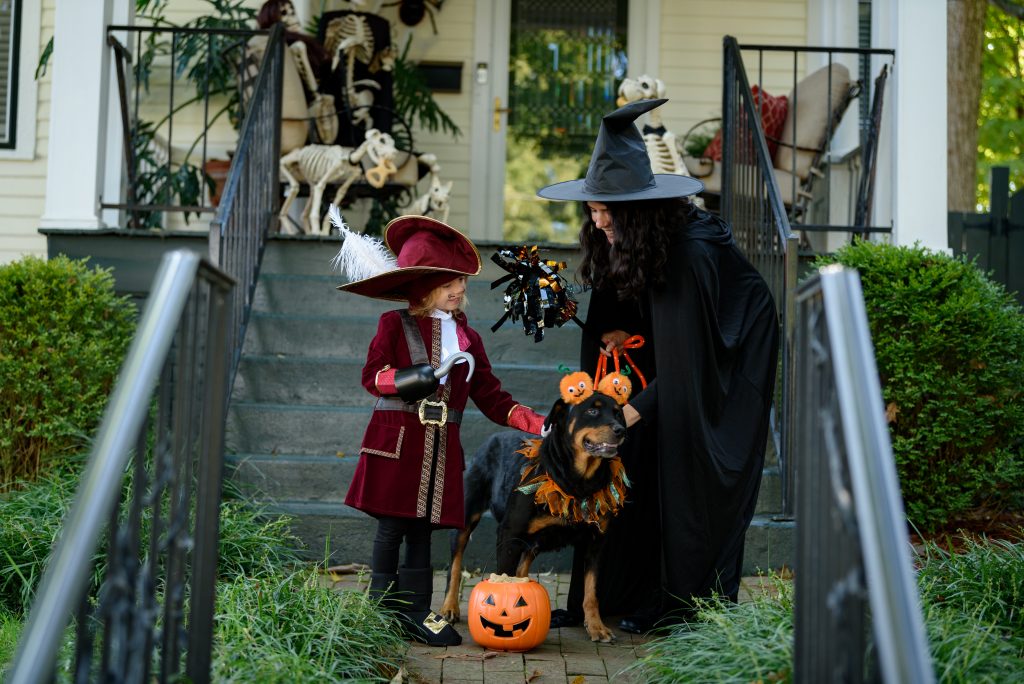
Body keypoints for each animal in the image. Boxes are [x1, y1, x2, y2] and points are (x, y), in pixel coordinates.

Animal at [438, 389, 626, 643]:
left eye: (618, 413)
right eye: (592, 410)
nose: (620, 430)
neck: (577, 481)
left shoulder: (596, 541)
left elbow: (591, 590)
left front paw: (597, 627)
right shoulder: (509, 533)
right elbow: (503, 580)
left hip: (533, 541)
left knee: (522, 569)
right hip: (467, 515)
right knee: (455, 563)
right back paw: (450, 607)